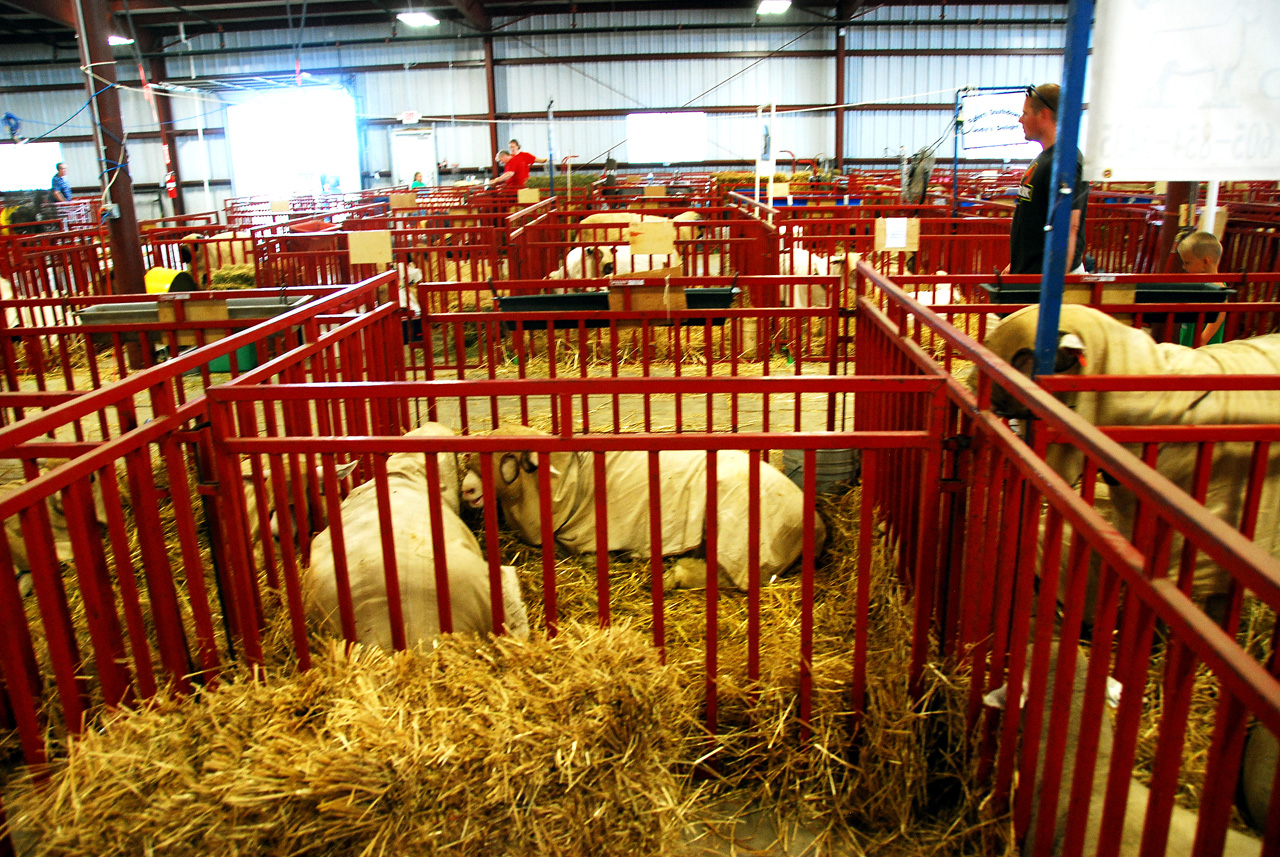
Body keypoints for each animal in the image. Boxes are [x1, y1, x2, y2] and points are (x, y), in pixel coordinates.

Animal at [458, 427, 819, 590]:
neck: (573, 480)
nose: (466, 489)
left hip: (738, 534)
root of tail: (816, 522)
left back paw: (676, 574)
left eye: (504, 459)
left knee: (729, 577)